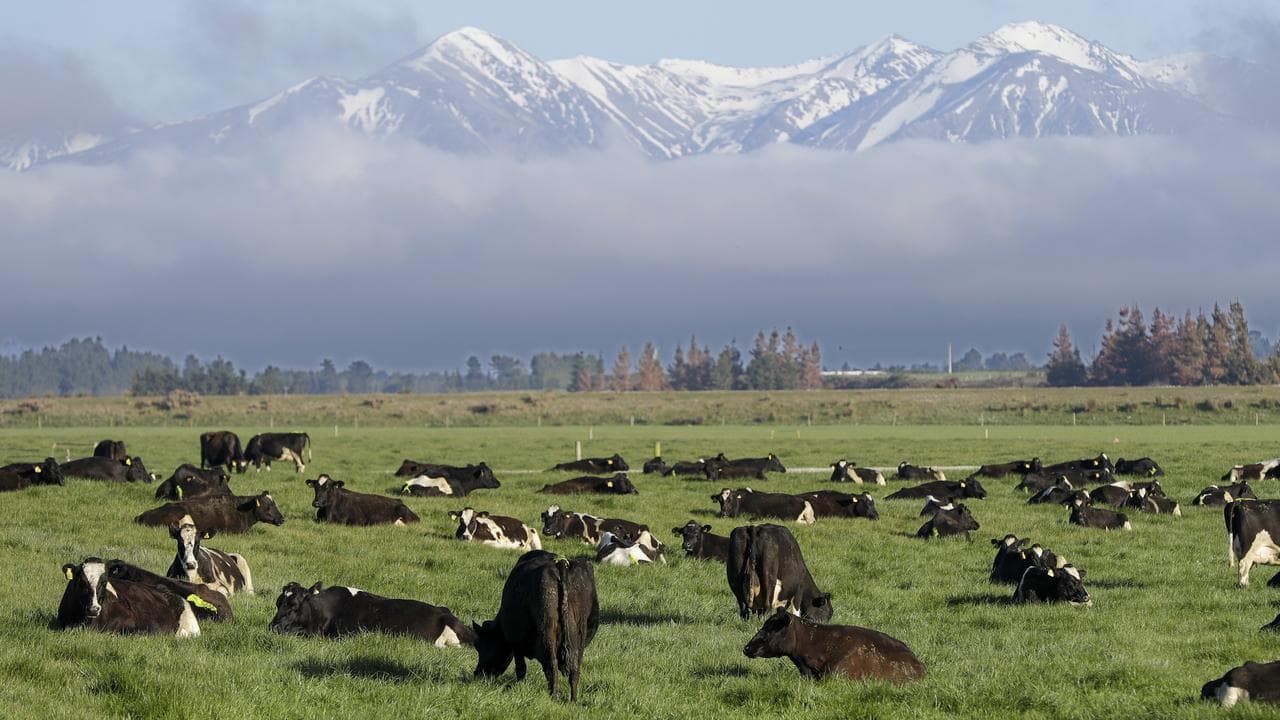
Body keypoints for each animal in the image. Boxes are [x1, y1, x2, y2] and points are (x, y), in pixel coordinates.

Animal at [473, 550, 600, 701]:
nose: (477, 673)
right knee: (575, 668)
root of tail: (560, 564)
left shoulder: (515, 643)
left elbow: (521, 668)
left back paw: (553, 697)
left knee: (551, 665)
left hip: (547, 629)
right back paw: (573, 700)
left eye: (479, 646)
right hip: (579, 635)